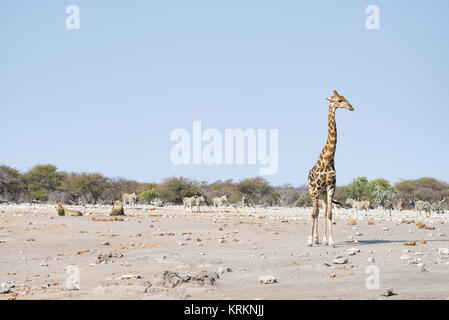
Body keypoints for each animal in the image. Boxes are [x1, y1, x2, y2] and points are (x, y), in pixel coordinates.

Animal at [308, 90, 354, 248]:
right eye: (339, 100)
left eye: (345, 98)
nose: (352, 108)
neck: (328, 160)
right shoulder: (316, 188)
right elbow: (314, 213)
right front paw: (310, 241)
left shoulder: (330, 188)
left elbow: (329, 214)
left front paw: (331, 241)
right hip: (312, 191)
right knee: (314, 211)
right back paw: (314, 239)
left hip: (322, 194)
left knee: (322, 211)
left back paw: (321, 239)